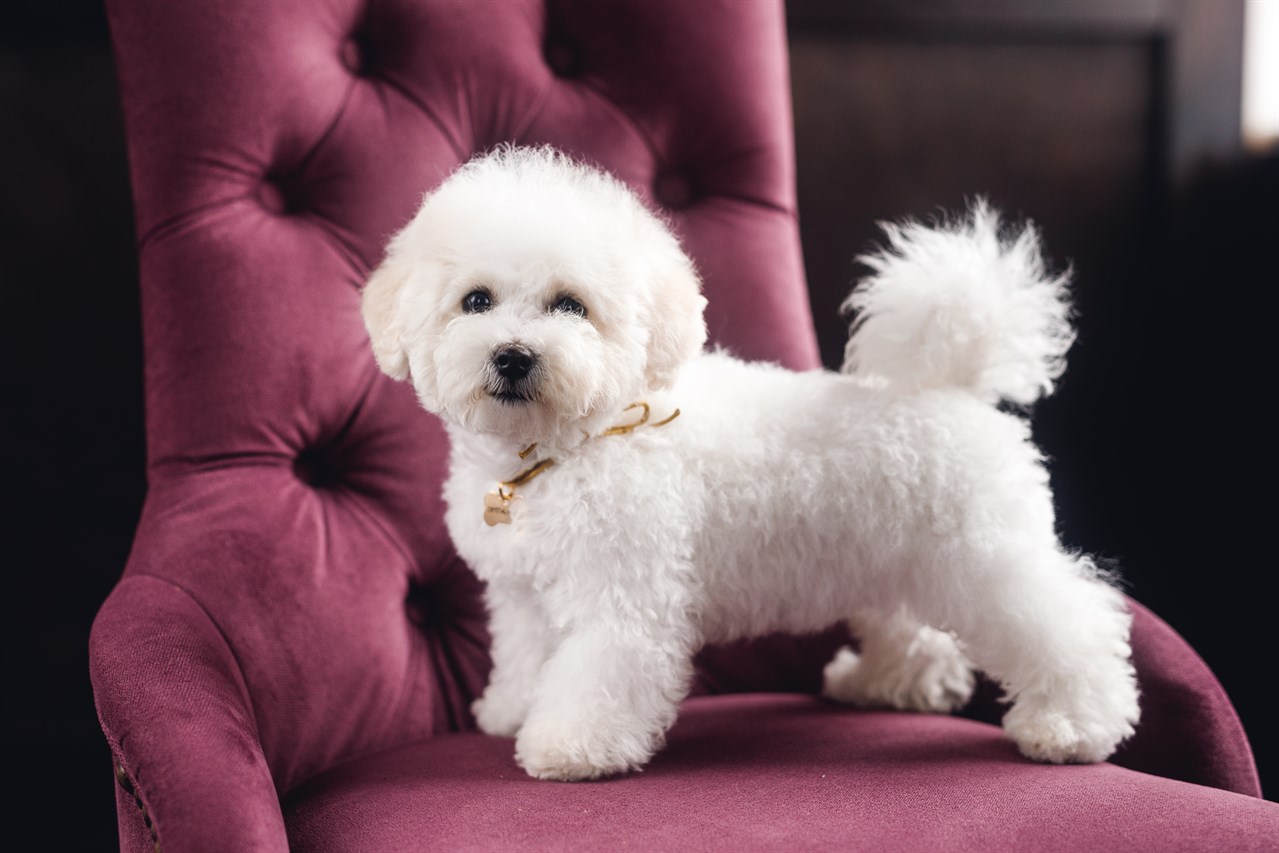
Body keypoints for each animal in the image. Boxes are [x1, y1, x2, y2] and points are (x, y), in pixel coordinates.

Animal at [360, 145, 1140, 782]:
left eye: (570, 305)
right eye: (476, 300)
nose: (514, 355)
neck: (566, 446)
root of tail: (954, 387)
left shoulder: (621, 594)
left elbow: (596, 673)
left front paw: (570, 747)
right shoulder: (523, 596)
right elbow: (527, 655)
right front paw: (513, 710)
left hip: (984, 560)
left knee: (1069, 622)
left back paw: (1071, 725)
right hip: (901, 559)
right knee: (917, 632)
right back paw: (889, 685)